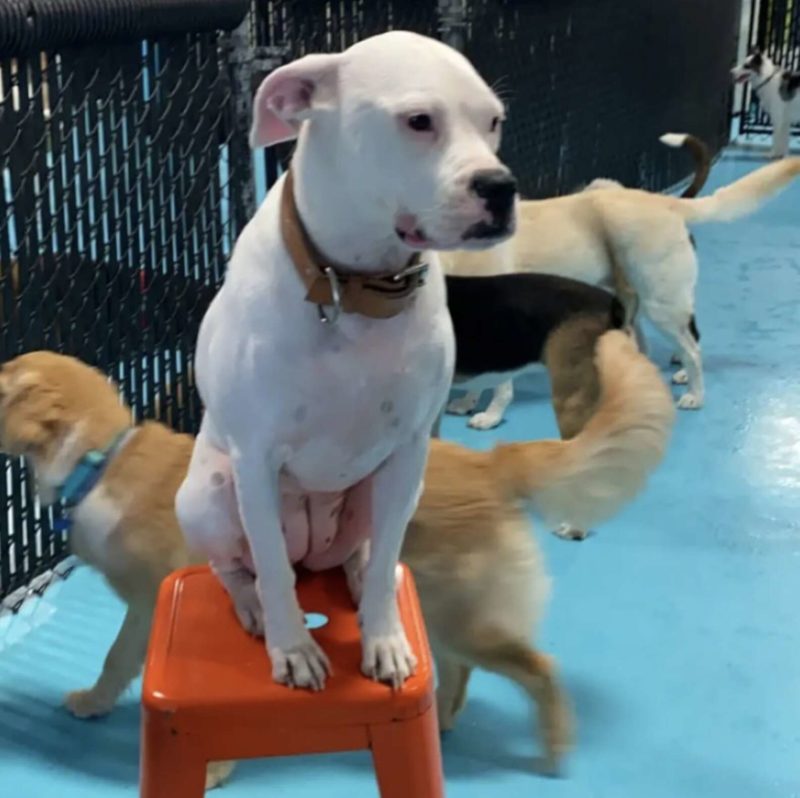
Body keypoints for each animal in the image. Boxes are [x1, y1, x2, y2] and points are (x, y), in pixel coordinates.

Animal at [0, 332, 676, 776]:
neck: (99, 461)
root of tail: (493, 467)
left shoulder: (150, 605)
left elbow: (118, 658)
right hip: (439, 613)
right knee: (459, 671)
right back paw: (443, 721)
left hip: (464, 616)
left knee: (539, 668)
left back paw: (555, 748)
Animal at [173, 31, 520, 692]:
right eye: (419, 121)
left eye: (493, 121)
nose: (500, 186)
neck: (354, 286)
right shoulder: (256, 459)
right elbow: (273, 570)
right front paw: (292, 648)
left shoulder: (410, 449)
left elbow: (386, 560)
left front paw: (382, 638)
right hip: (209, 493)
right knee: (239, 566)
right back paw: (253, 607)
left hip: (383, 490)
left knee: (368, 552)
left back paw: (358, 580)